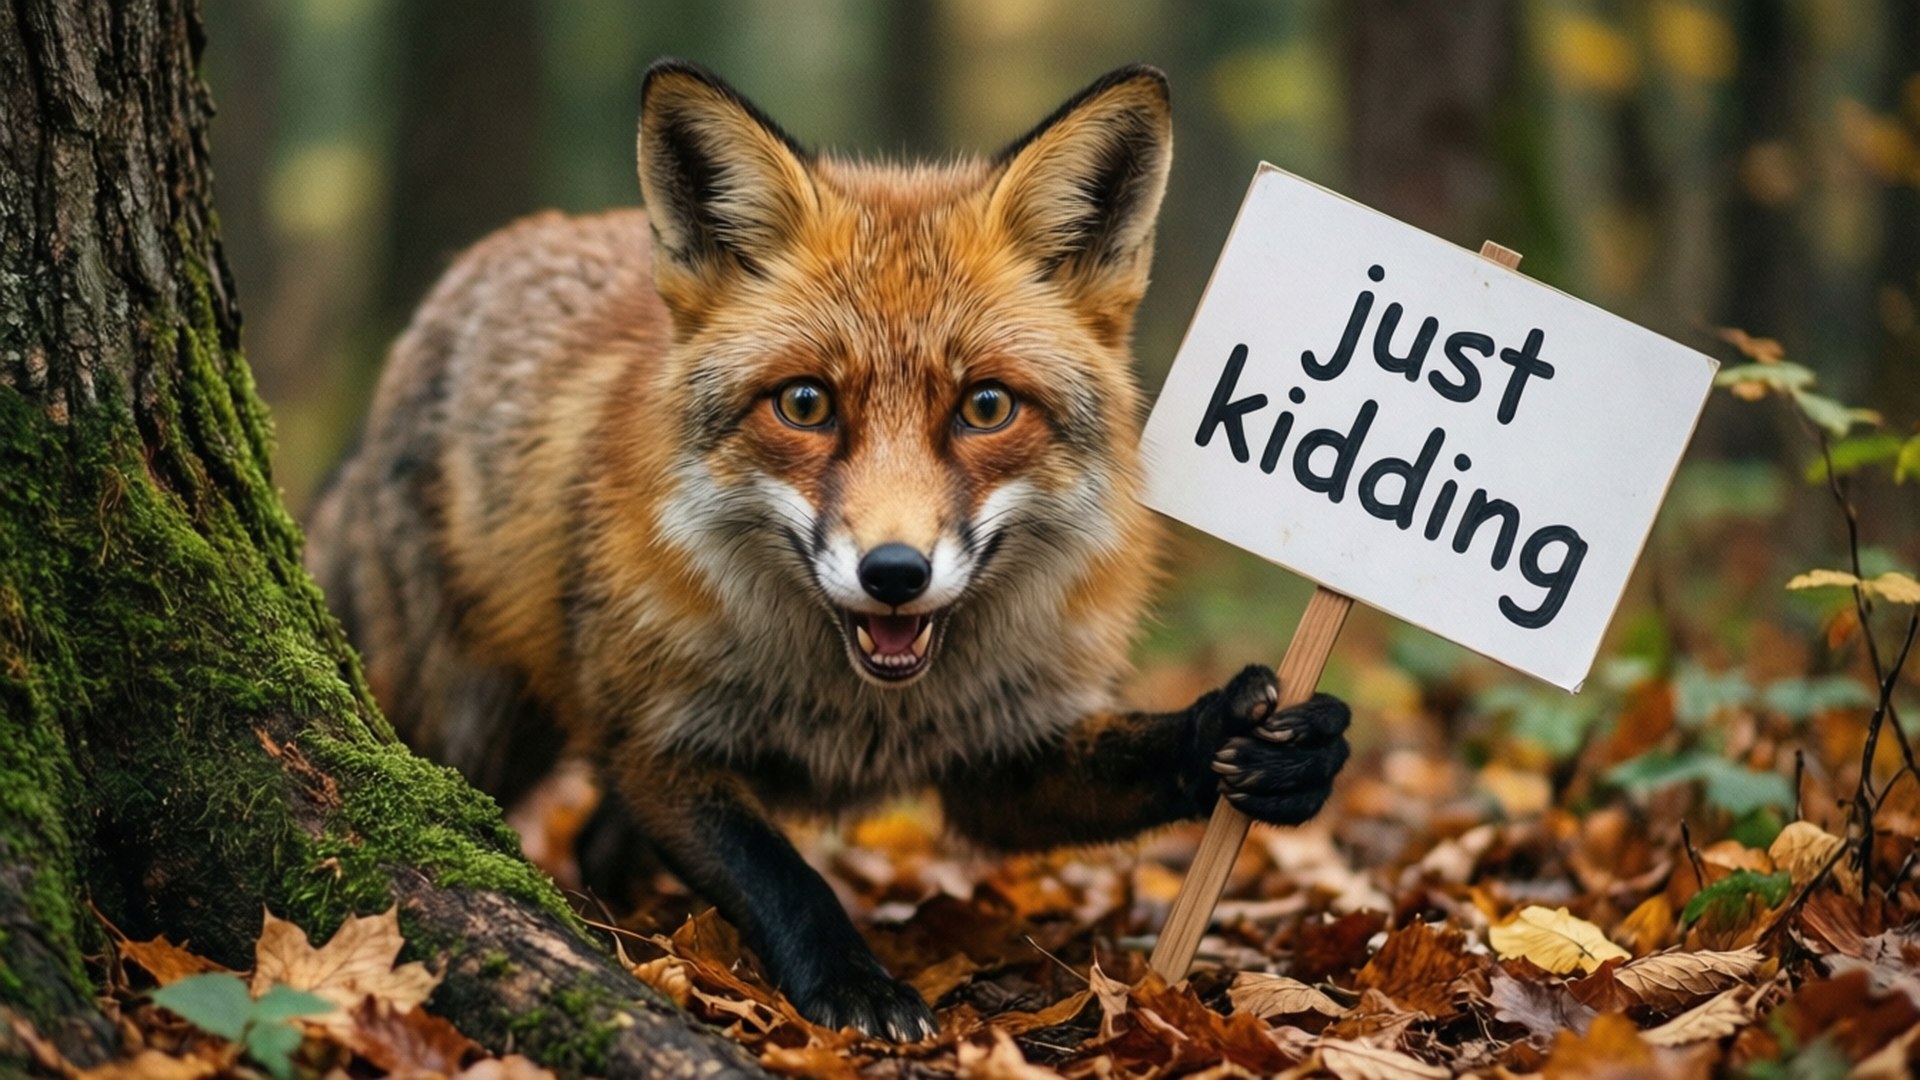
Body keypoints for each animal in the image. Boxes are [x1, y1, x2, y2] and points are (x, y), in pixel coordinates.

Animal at [304, 59, 1351, 1040]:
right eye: (805, 403)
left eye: (986, 407)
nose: (894, 574)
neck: (857, 713)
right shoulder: (654, 736)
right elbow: (786, 875)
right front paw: (854, 984)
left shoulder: (1000, 748)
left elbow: (1129, 764)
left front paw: (1262, 742)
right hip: (467, 718)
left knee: (602, 843)